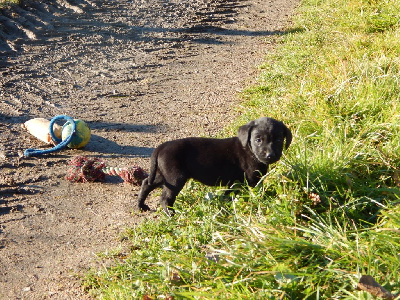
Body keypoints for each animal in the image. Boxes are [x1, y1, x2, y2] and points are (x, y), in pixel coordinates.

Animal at [136, 116, 292, 214]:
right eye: (258, 139)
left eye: (279, 139)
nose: (270, 155)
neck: (249, 150)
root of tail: (161, 147)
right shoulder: (250, 180)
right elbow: (255, 193)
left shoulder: (235, 182)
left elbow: (229, 194)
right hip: (175, 178)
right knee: (165, 198)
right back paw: (172, 214)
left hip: (164, 175)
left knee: (146, 183)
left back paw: (141, 206)